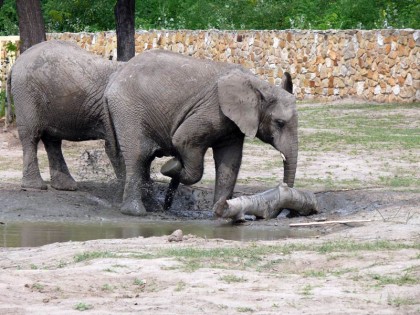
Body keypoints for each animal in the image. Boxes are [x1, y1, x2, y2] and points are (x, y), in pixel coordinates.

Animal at [8, 40, 124, 191]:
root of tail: (16, 63)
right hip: (26, 94)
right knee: (31, 135)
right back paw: (35, 187)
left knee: (52, 140)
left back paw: (66, 186)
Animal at [104, 50, 298, 217]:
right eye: (280, 123)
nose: (286, 213)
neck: (260, 85)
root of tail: (113, 79)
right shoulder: (211, 110)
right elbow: (182, 139)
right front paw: (171, 167)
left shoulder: (232, 124)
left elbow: (231, 160)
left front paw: (219, 211)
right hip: (128, 109)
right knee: (139, 154)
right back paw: (136, 212)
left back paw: (151, 207)